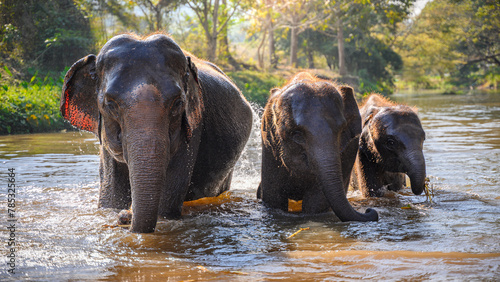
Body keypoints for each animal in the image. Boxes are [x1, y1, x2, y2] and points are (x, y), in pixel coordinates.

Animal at [61, 33, 254, 232]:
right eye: (110, 104)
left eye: (178, 103)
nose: (125, 217)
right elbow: (111, 193)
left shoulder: (192, 129)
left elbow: (167, 199)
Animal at [256, 72, 376, 223]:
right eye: (296, 134)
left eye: (342, 130)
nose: (369, 210)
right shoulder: (269, 146)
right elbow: (274, 196)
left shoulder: (349, 148)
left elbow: (317, 201)